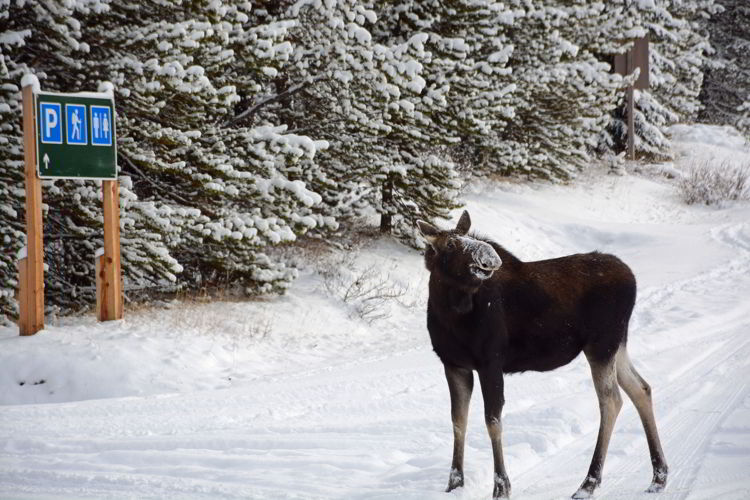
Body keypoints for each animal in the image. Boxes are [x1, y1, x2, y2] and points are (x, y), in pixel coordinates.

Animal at [418, 212, 668, 500]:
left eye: (468, 237)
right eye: (449, 244)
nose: (489, 257)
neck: (451, 313)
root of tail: (632, 278)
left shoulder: (491, 361)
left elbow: (493, 421)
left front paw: (501, 487)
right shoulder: (454, 364)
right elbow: (458, 421)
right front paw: (454, 484)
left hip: (601, 344)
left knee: (611, 400)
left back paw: (589, 483)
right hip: (618, 344)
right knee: (641, 388)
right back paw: (659, 476)